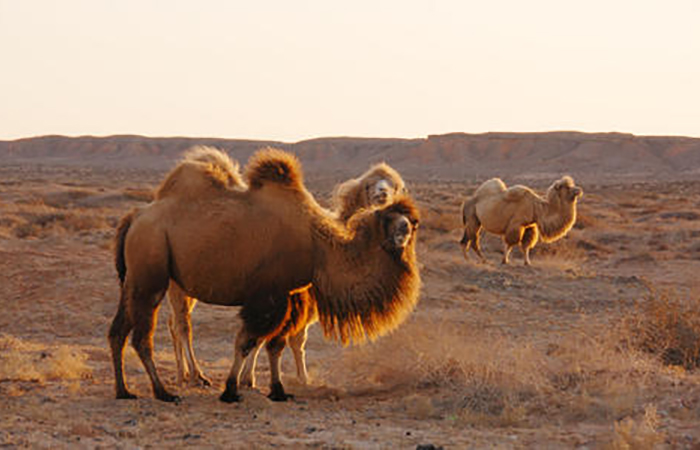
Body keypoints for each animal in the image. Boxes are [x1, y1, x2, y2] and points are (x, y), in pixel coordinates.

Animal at [106, 149, 418, 402]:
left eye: (412, 223)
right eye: (390, 219)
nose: (403, 231)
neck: (319, 244)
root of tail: (134, 217)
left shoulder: (288, 295)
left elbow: (273, 344)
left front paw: (276, 389)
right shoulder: (269, 295)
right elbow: (248, 342)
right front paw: (232, 390)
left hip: (137, 278)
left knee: (120, 329)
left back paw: (124, 390)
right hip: (152, 268)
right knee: (147, 335)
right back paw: (165, 391)